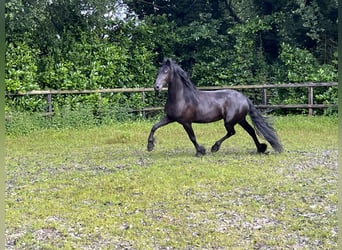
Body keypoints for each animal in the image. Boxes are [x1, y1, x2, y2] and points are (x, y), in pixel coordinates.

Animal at [147, 58, 284, 156]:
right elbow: (154, 127)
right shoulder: (170, 118)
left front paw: (200, 151)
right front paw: (150, 146)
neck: (182, 97)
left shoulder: (186, 122)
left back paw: (215, 147)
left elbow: (192, 137)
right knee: (250, 131)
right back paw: (261, 148)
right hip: (240, 119)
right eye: (158, 71)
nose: (156, 87)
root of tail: (244, 98)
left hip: (230, 121)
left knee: (232, 132)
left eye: (166, 71)